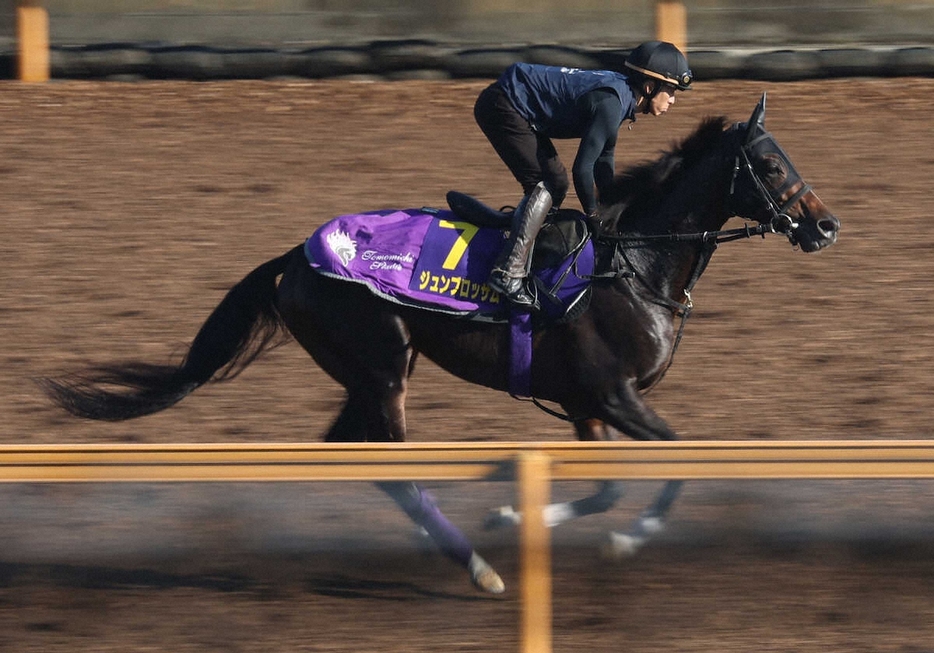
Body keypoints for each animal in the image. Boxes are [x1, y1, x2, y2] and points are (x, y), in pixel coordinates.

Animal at [42, 94, 840, 592]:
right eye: (771, 164)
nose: (826, 225)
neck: (635, 261)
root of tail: (296, 256)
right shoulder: (614, 393)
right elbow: (676, 461)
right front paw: (624, 540)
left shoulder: (587, 400)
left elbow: (607, 486)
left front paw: (514, 512)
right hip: (383, 368)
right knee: (394, 467)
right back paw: (476, 566)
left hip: (366, 376)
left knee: (351, 455)